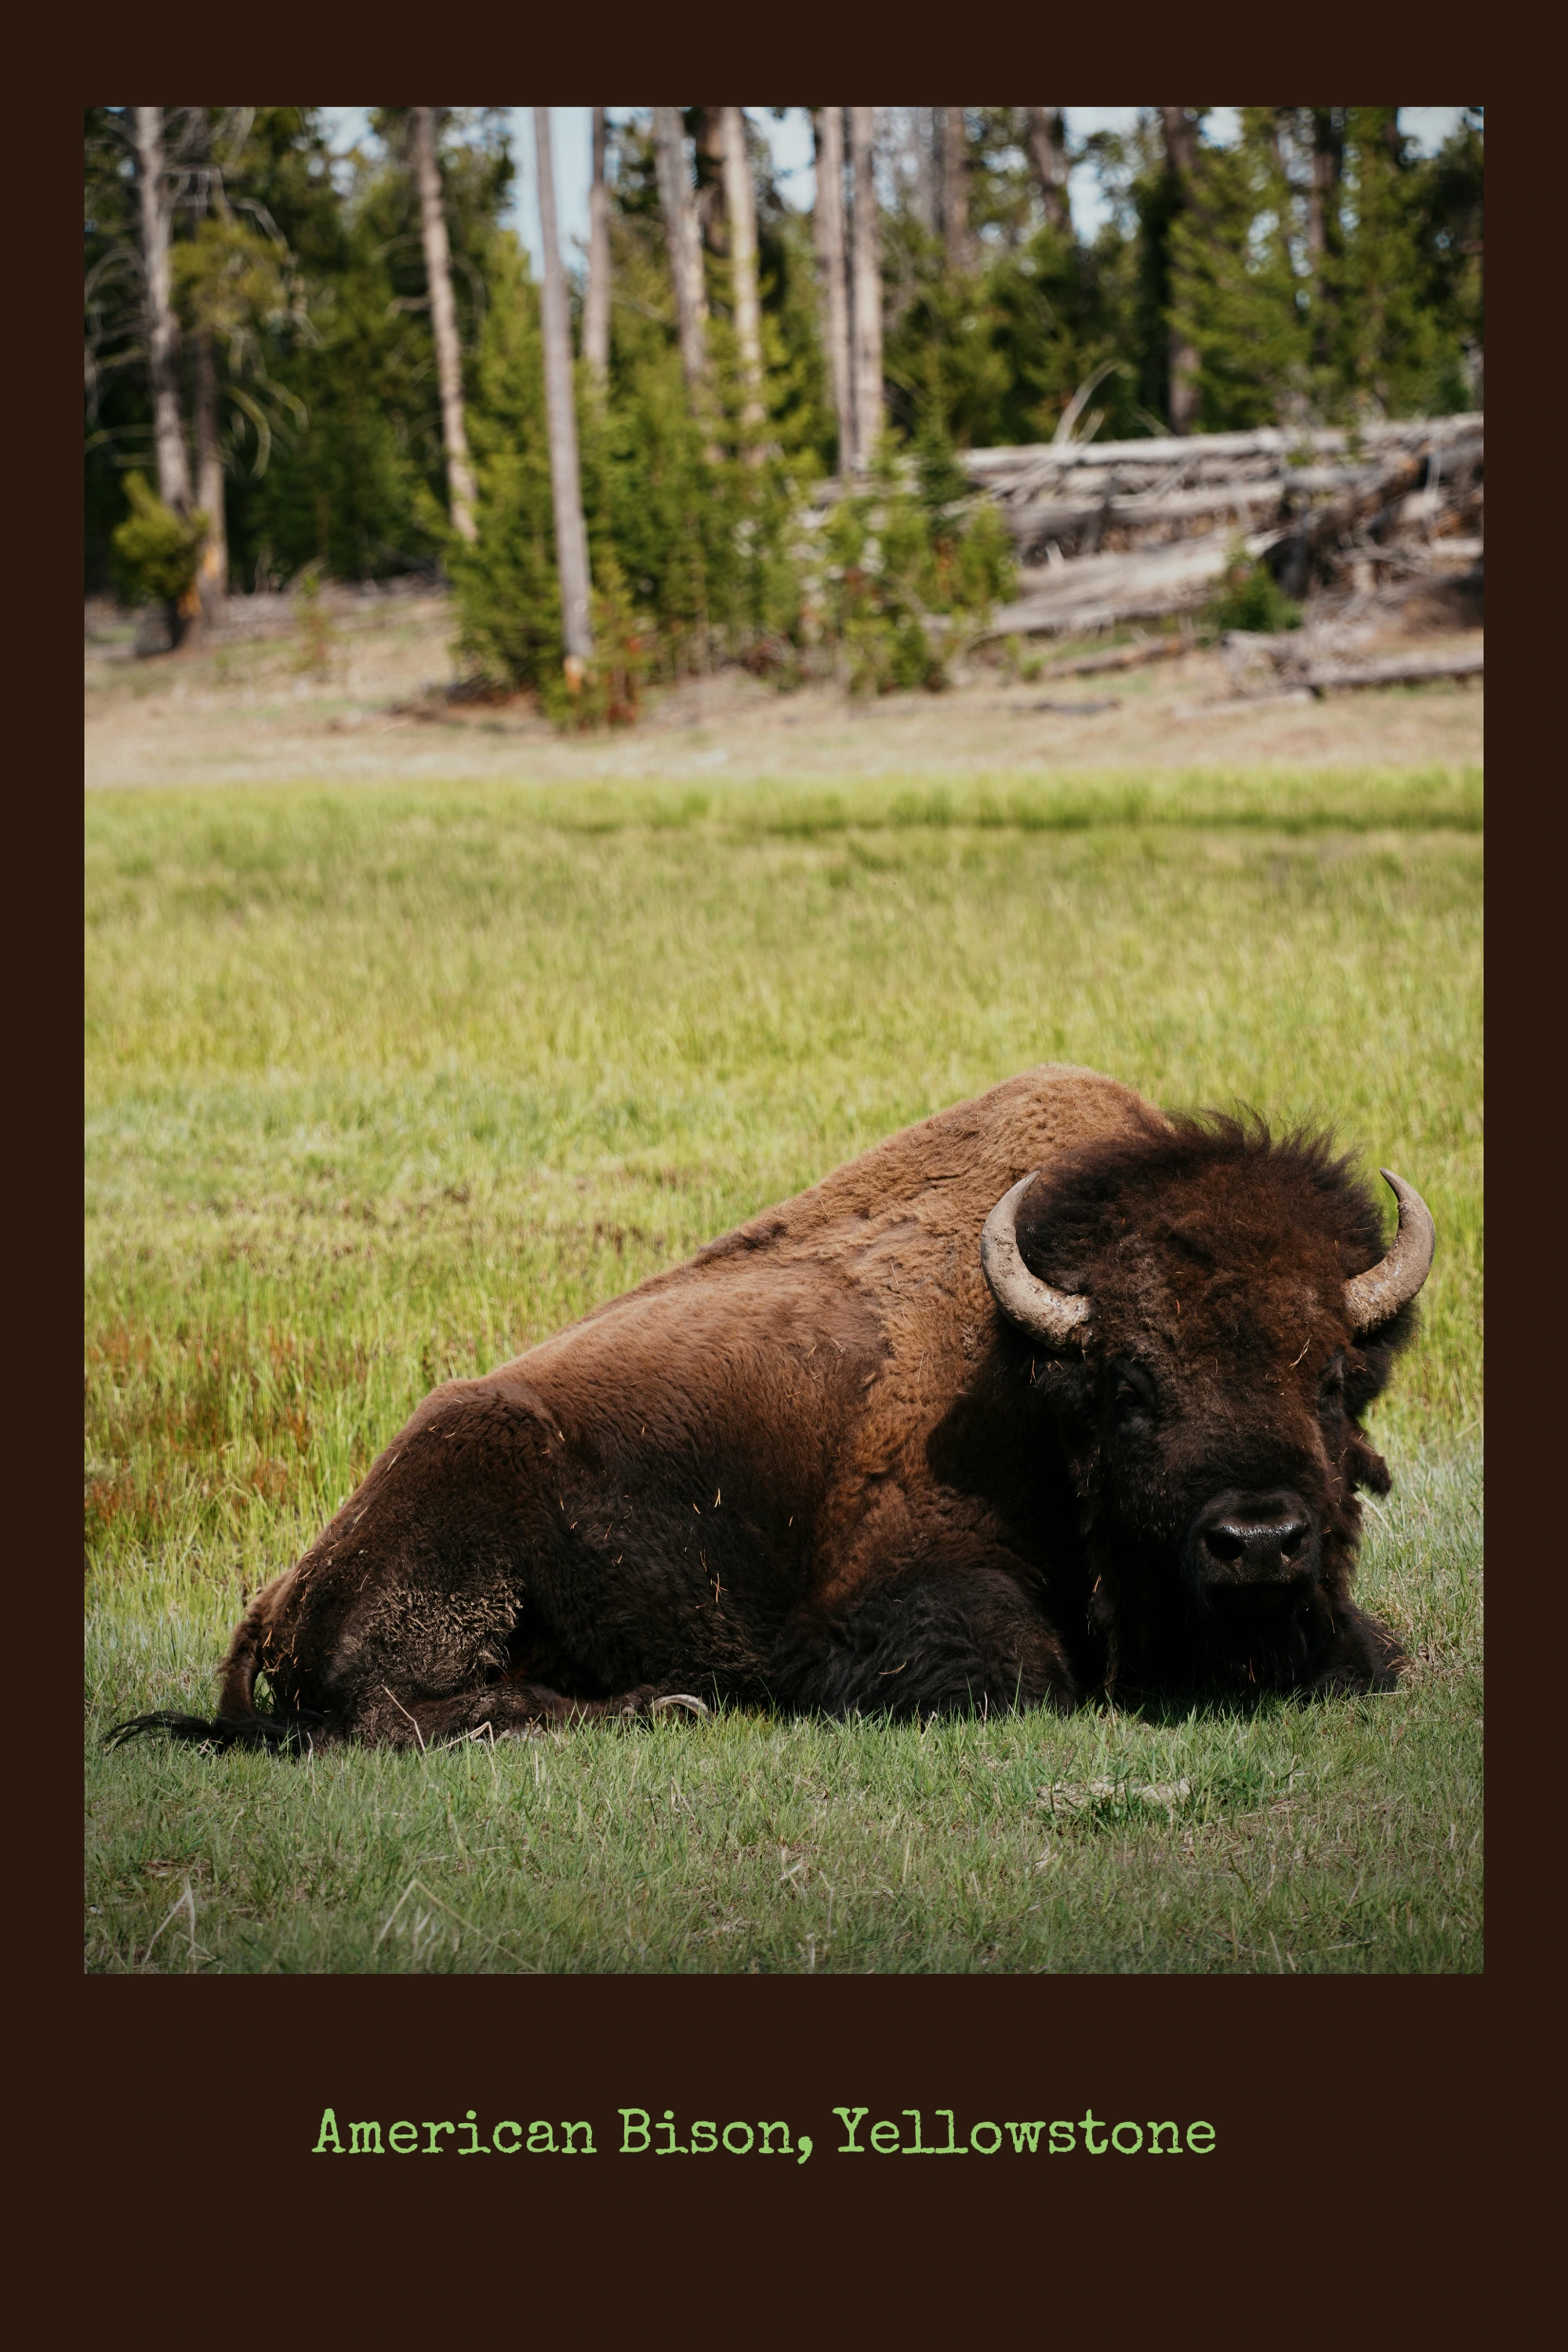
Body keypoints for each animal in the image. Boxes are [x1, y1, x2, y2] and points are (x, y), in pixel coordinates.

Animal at [111, 1063, 1434, 1752]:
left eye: (1333, 1379)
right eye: (1129, 1388)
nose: (1259, 1541)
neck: (1026, 1368)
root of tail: (283, 1591)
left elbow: (1378, 1656)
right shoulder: (887, 1606)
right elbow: (1016, 1672)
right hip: (451, 1537)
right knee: (398, 1715)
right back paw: (669, 1703)